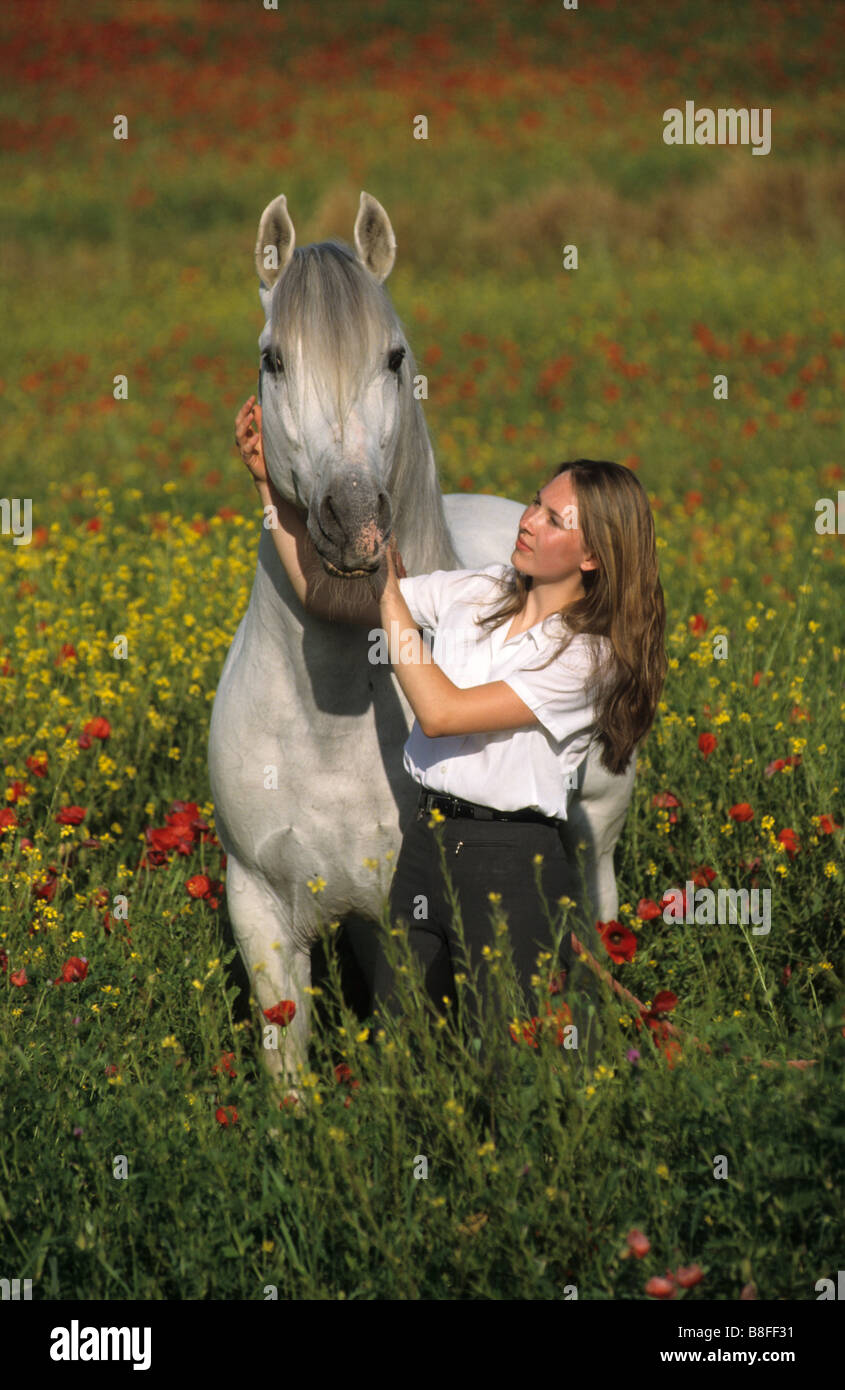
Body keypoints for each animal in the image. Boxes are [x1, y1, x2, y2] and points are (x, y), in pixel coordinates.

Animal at [209, 193, 633, 1084]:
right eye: (272, 359)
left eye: (394, 356)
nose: (353, 522)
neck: (327, 722)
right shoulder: (257, 906)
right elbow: (286, 1062)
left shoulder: (396, 919)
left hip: (596, 838)